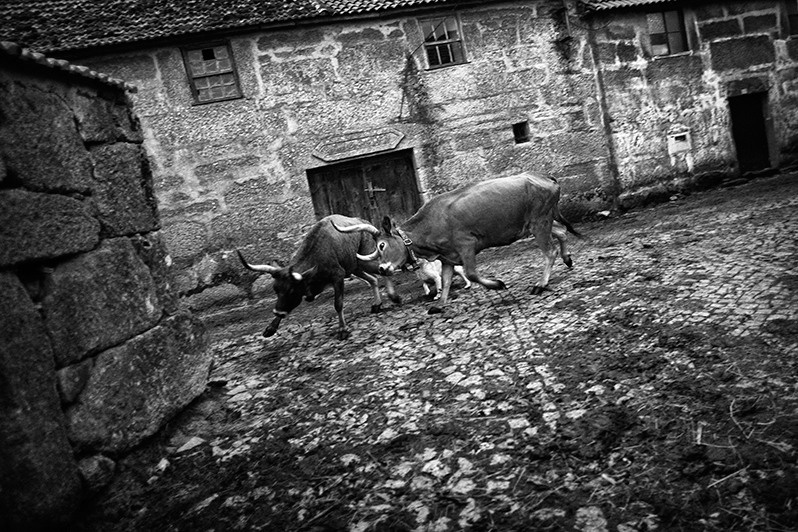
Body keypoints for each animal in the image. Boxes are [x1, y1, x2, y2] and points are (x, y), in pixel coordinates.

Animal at [237, 214, 402, 339]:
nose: (277, 312)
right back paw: (377, 304)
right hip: (356, 266)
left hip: (365, 259)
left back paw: (394, 297)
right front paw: (271, 327)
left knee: (383, 270)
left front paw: (343, 329)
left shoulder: (338, 276)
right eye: (276, 290)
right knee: (373, 278)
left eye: (291, 291)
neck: (316, 253)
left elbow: (338, 304)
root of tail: (364, 222)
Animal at [333, 172, 578, 314]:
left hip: (539, 222)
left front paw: (497, 284)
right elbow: (446, 279)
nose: (383, 269)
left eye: (382, 245)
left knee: (550, 251)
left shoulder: (466, 245)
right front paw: (440, 304)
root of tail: (546, 178)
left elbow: (470, 273)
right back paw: (567, 259)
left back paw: (541, 283)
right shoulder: (448, 257)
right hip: (538, 223)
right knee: (561, 231)